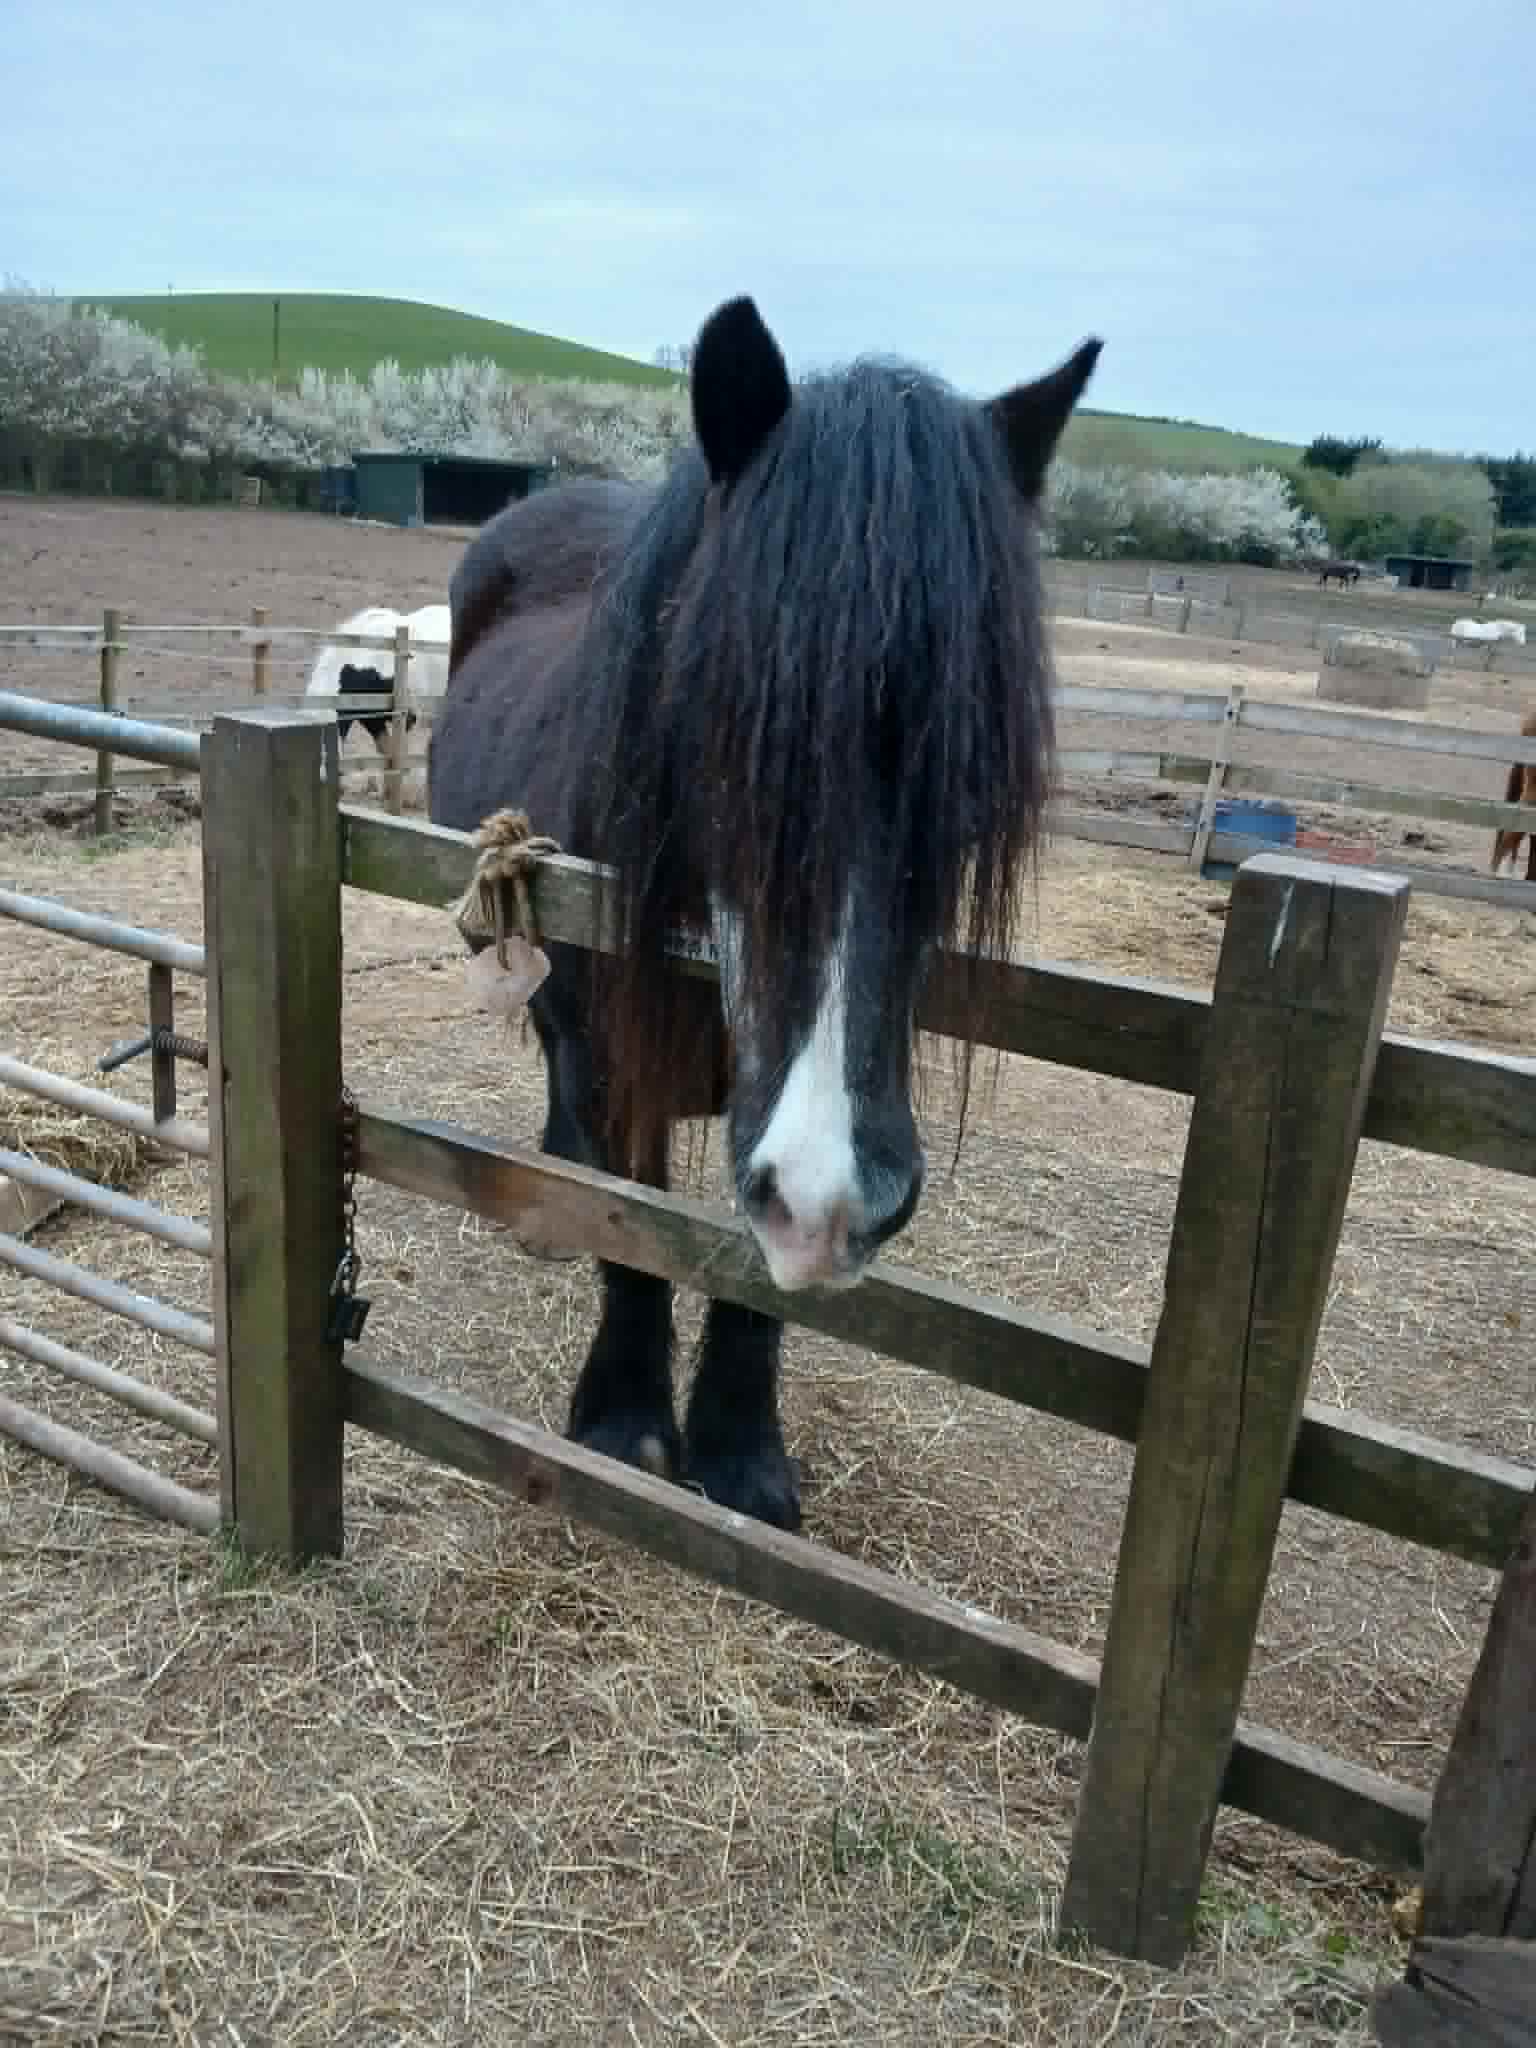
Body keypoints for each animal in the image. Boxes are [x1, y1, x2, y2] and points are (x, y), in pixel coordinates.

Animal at [428, 294, 1100, 1530]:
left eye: (970, 786)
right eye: (731, 746)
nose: (837, 1196)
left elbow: (749, 1271)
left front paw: (740, 1455)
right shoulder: (623, 1068)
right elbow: (632, 1223)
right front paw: (624, 1421)